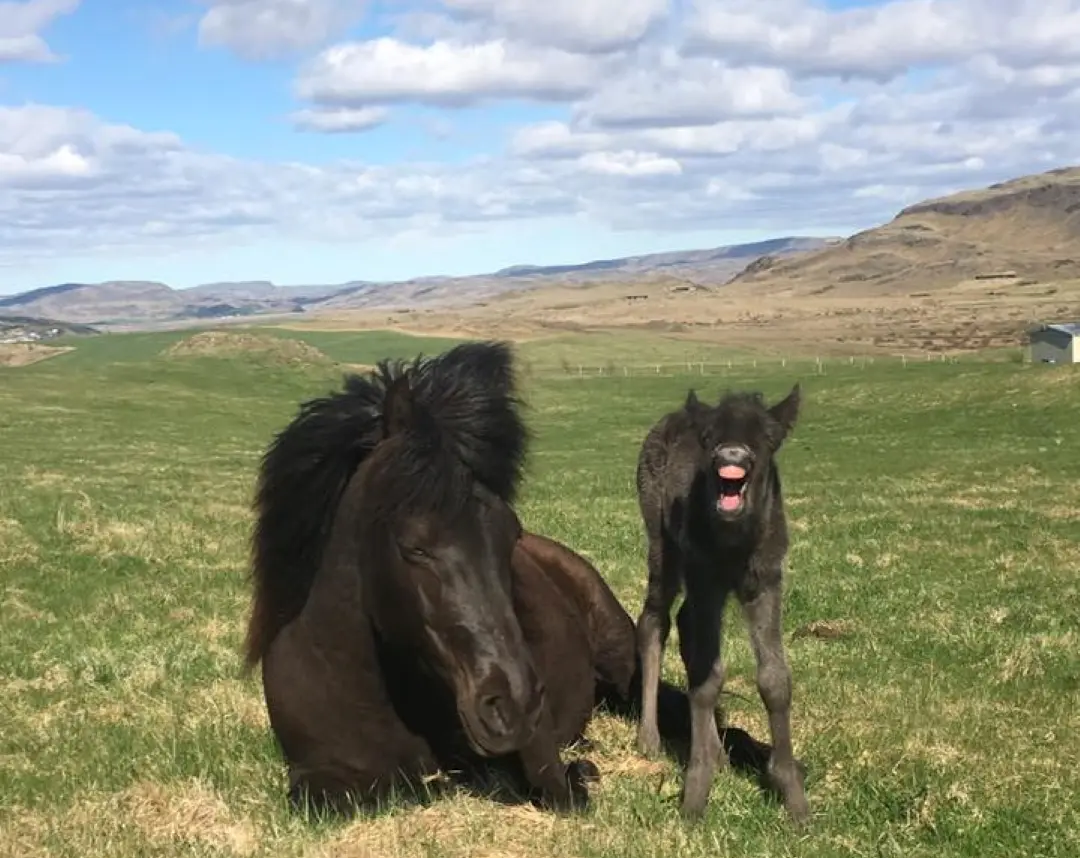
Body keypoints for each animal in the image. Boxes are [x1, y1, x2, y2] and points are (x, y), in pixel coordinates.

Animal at [247, 337, 777, 812]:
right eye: (415, 546)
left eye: (509, 536)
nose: (515, 705)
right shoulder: (315, 776)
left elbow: (556, 789)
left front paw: (581, 770)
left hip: (622, 665)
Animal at [630, 382, 812, 821]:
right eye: (709, 437)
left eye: (768, 437)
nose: (731, 456)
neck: (734, 542)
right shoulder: (705, 579)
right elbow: (707, 677)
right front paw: (696, 793)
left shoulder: (765, 582)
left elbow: (774, 679)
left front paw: (793, 795)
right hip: (662, 545)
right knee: (655, 620)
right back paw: (650, 738)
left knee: (684, 624)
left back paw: (717, 752)